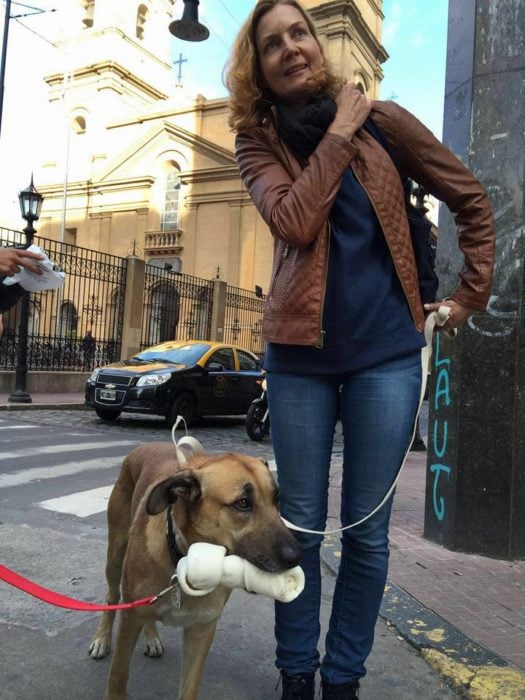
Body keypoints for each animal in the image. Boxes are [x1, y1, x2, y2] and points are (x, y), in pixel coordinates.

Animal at [88, 442, 300, 700]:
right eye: (243, 503)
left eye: (276, 498)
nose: (297, 556)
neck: (185, 562)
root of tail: (147, 444)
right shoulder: (129, 619)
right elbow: (117, 676)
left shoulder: (201, 631)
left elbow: (189, 688)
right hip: (115, 556)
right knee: (112, 595)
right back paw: (102, 638)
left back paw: (151, 635)